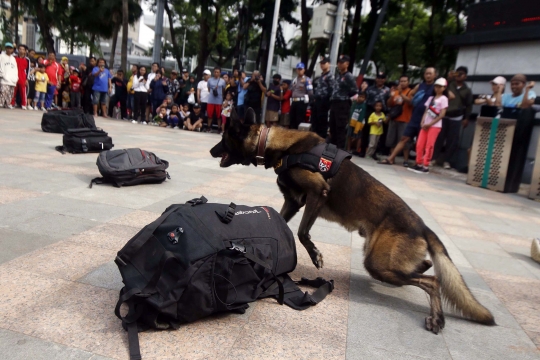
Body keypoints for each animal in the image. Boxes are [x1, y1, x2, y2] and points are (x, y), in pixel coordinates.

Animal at [209, 108, 496, 334]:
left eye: (222, 139)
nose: (210, 150)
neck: (277, 144)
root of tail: (423, 226)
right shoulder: (294, 202)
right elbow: (286, 223)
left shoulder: (317, 194)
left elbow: (302, 232)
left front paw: (315, 255)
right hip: (382, 260)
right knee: (424, 266)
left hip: (378, 264)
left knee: (433, 281)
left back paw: (437, 317)